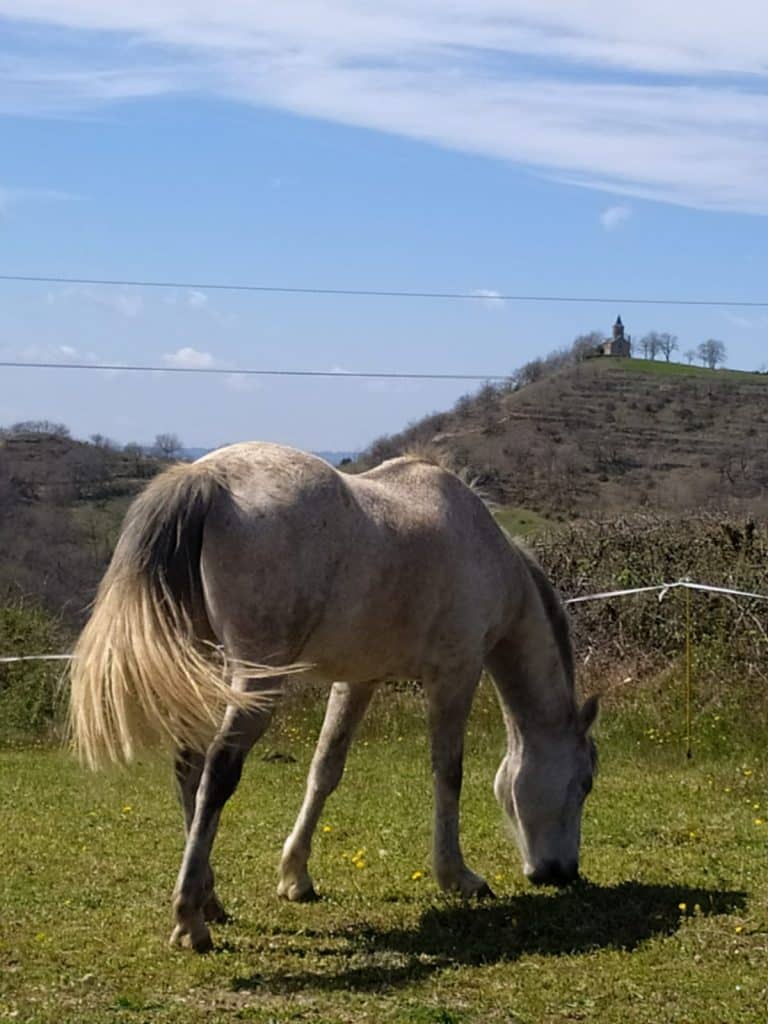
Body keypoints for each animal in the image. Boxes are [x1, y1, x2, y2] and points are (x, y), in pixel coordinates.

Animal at [69, 440, 598, 950]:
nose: (563, 873)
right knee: (218, 770)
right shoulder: (455, 675)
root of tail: (206, 478)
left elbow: (325, 770)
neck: (483, 547)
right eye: (584, 784)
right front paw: (457, 876)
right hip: (256, 681)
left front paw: (296, 877)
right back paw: (190, 922)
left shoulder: (357, 681)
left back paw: (209, 900)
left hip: (202, 668)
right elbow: (448, 773)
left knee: (188, 767)